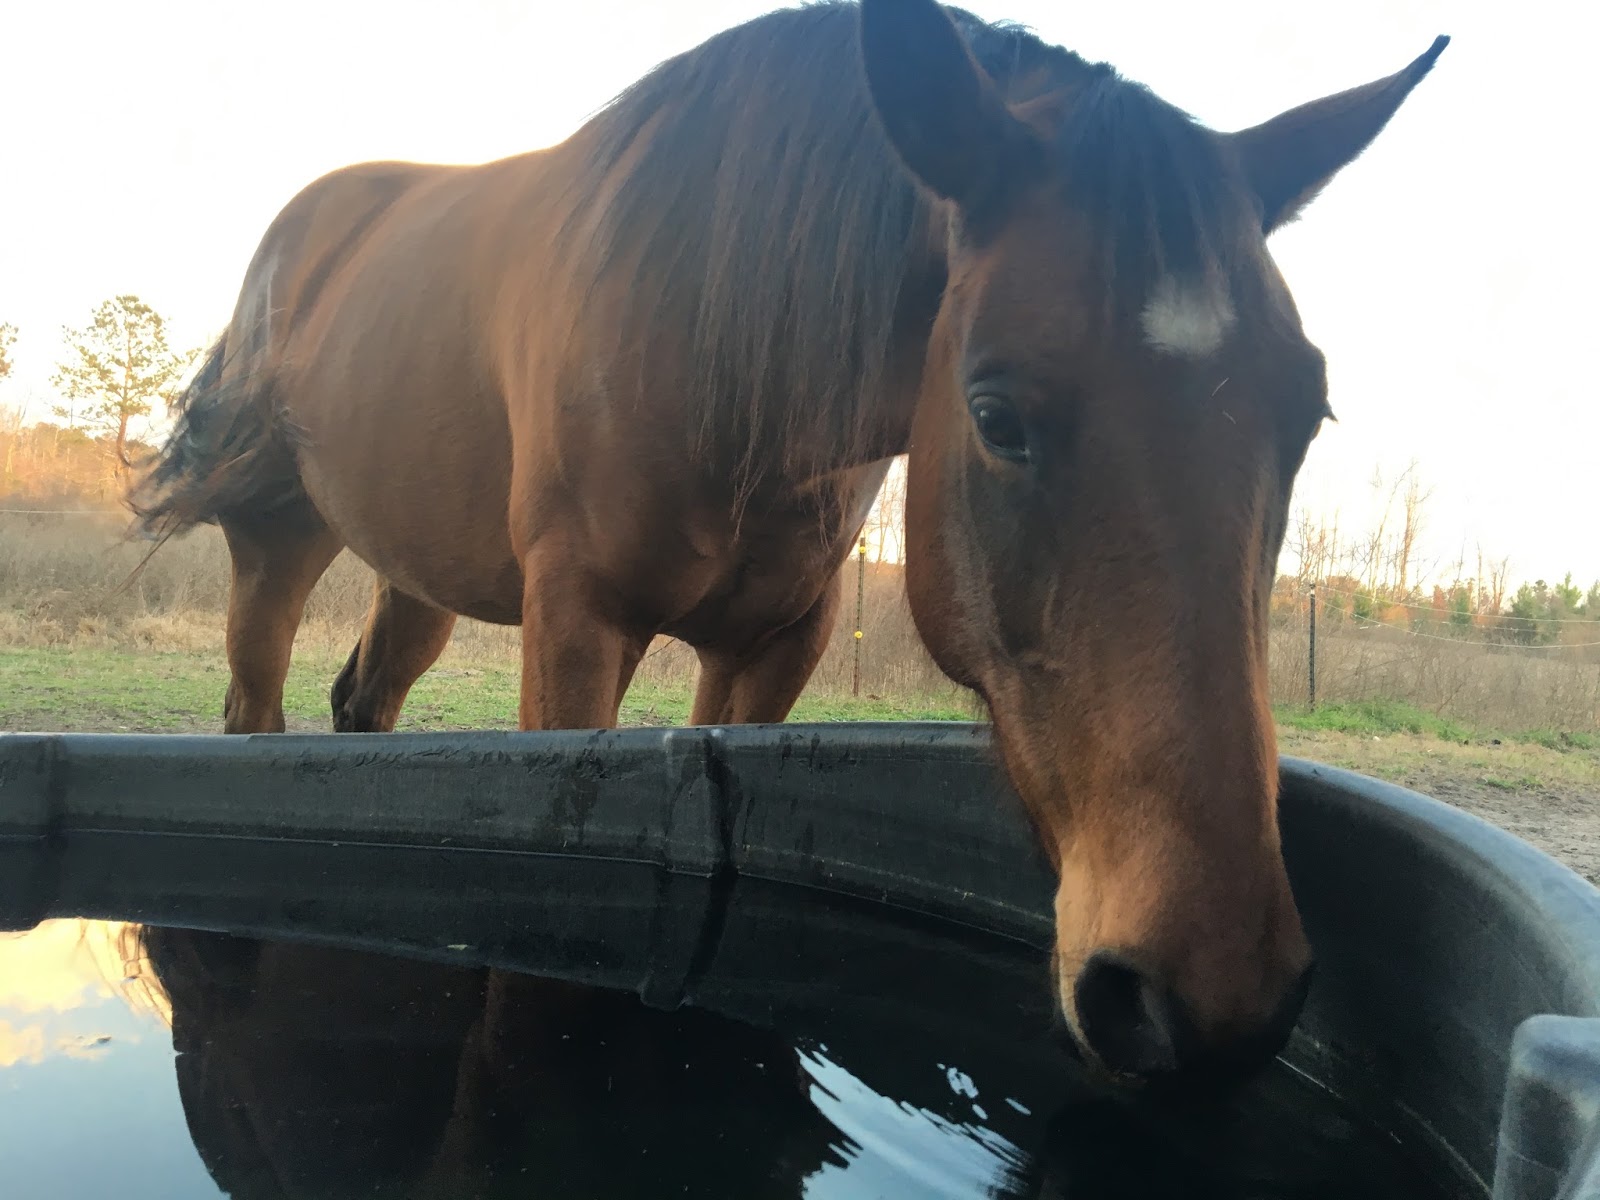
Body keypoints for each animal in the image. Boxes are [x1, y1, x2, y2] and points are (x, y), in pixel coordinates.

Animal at [129, 0, 1448, 1084]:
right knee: (254, 708)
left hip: (419, 576)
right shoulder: (577, 629)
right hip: (280, 542)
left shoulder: (772, 651)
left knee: (366, 704)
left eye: (1306, 413)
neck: (709, 330)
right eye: (995, 414)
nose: (1212, 990)